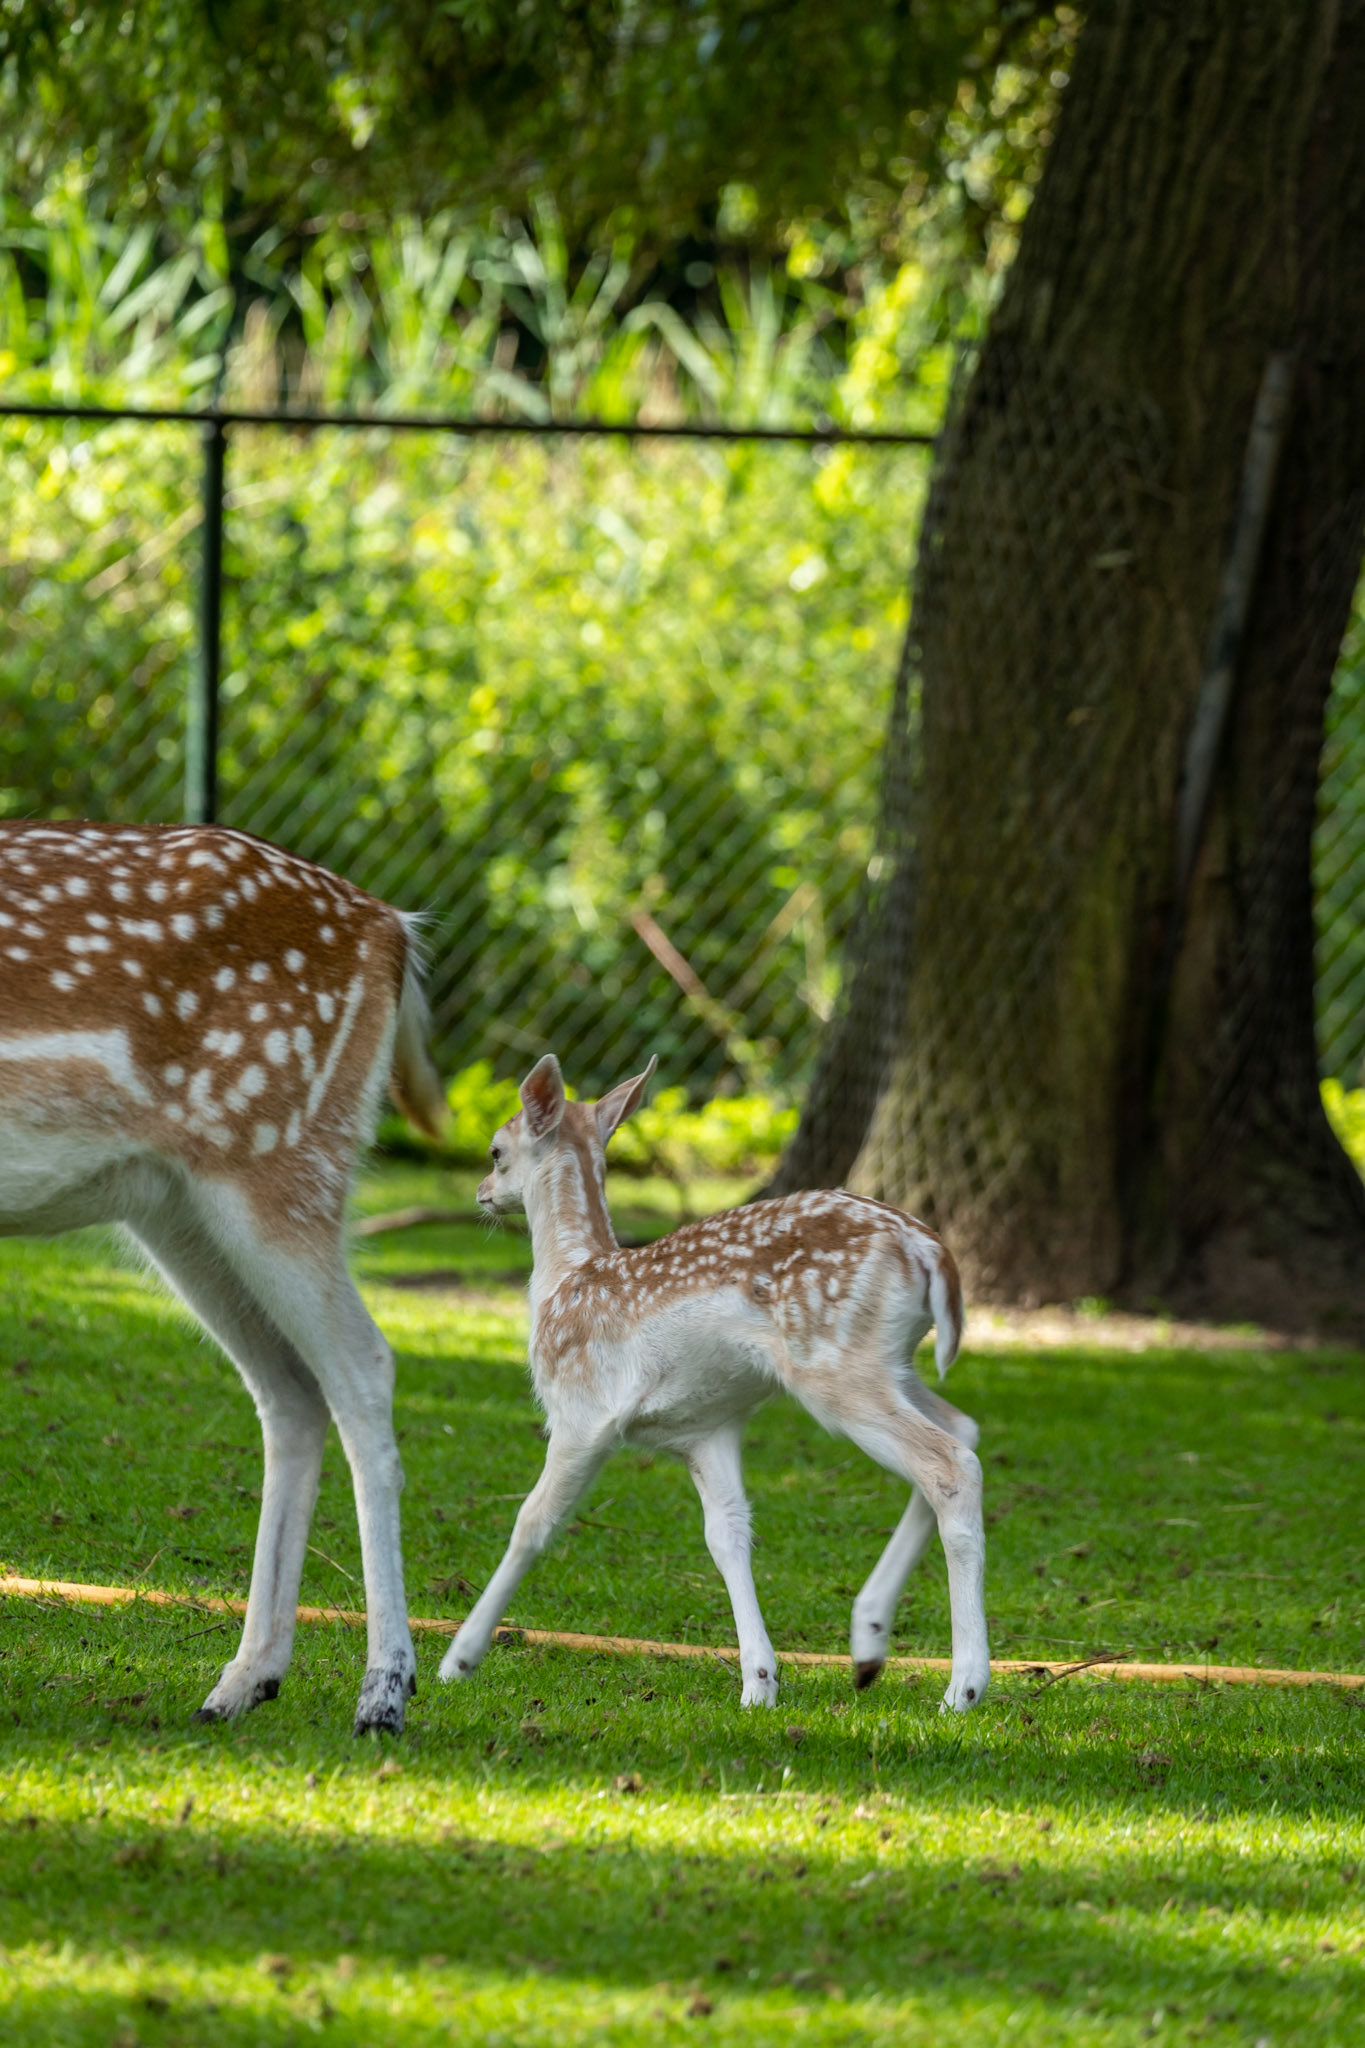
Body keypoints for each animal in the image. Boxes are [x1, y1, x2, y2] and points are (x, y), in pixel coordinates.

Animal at [0, 820, 446, 1735]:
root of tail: (394, 927)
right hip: (174, 1203)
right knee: (289, 1389)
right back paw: (242, 1680)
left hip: (277, 1158)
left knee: (363, 1365)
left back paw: (382, 1692)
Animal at [438, 1054, 990, 1713]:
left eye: (496, 1150)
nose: (481, 1192)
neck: (565, 1281)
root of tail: (931, 1251)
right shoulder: (706, 1427)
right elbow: (727, 1534)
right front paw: (760, 1684)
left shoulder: (582, 1412)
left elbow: (533, 1523)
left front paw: (456, 1662)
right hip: (890, 1364)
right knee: (964, 1428)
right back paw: (868, 1638)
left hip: (836, 1367)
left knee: (949, 1462)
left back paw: (963, 1686)